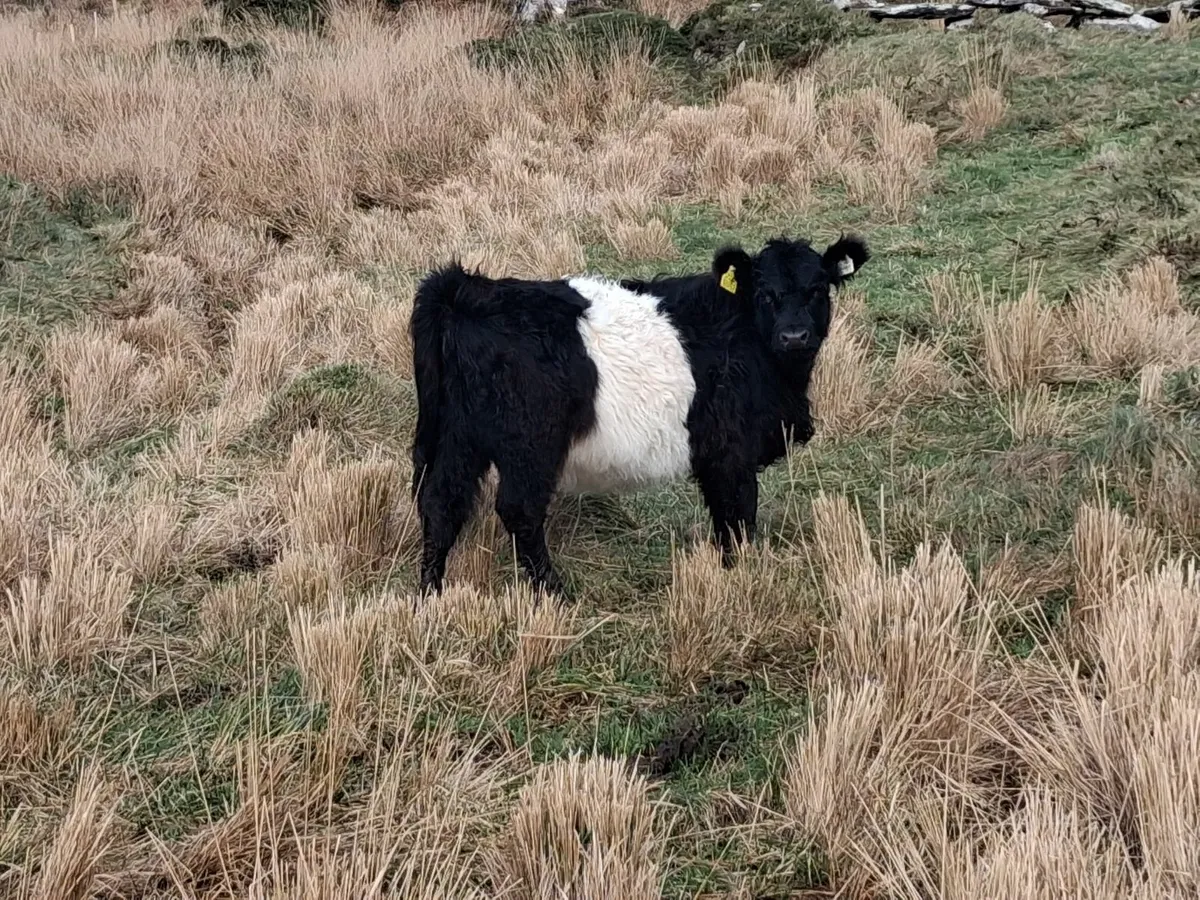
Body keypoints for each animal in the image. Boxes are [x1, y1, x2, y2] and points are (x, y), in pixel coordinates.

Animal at [408, 234, 870, 601]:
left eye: (818, 288)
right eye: (764, 293)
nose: (794, 336)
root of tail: (467, 288)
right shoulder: (730, 453)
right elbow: (737, 518)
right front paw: (741, 576)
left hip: (457, 438)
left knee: (441, 503)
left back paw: (430, 595)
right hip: (529, 443)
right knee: (518, 510)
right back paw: (554, 592)